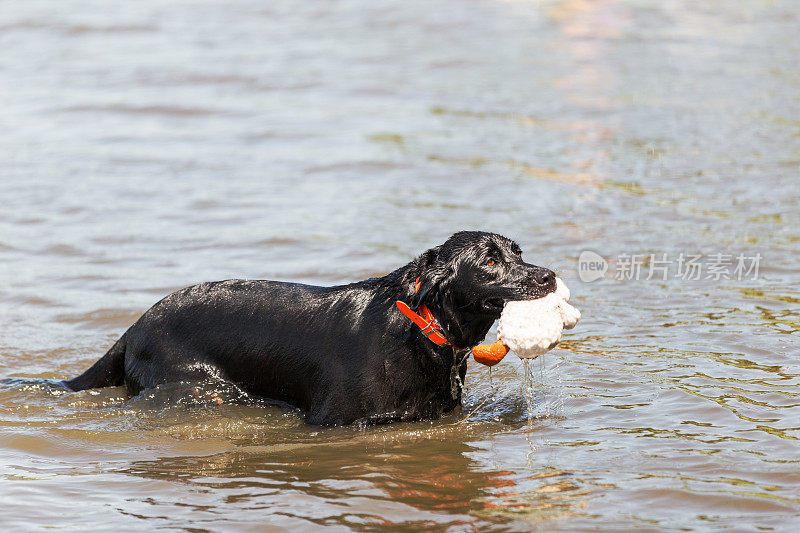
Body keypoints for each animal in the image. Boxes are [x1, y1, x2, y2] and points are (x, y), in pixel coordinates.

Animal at [64, 231, 556, 426]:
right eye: (489, 262)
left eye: (518, 252)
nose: (548, 275)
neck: (420, 330)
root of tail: (136, 326)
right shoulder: (327, 421)